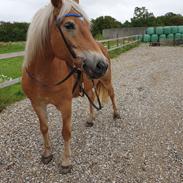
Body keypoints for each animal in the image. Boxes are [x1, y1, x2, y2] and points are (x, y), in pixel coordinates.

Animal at [21, 0, 120, 174]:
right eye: (69, 25)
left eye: (88, 25)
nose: (101, 65)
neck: (42, 76)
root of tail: (103, 47)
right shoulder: (37, 104)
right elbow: (44, 128)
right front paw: (47, 154)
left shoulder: (66, 104)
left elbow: (66, 132)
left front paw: (66, 162)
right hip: (89, 84)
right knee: (91, 97)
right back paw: (90, 119)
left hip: (106, 80)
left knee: (112, 94)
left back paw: (116, 114)